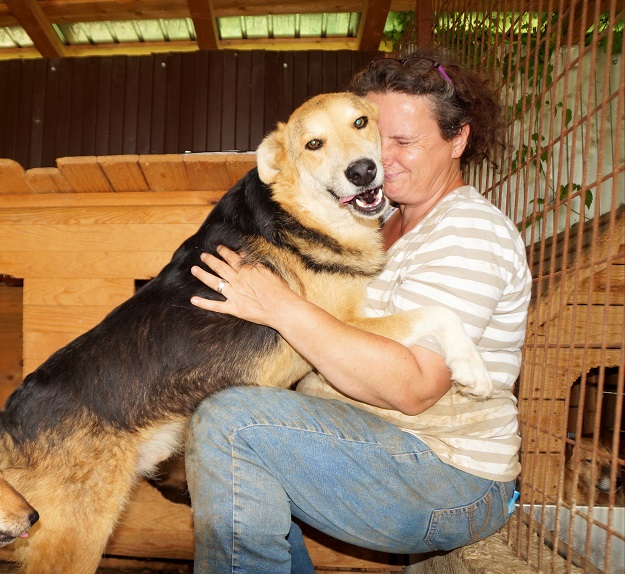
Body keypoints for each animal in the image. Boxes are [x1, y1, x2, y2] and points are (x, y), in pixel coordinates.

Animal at [0, 92, 492, 572]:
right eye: (314, 144)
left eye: (361, 123)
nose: (363, 170)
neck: (300, 214)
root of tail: (11, 420)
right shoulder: (343, 325)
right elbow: (438, 313)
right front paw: (473, 370)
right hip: (74, 536)